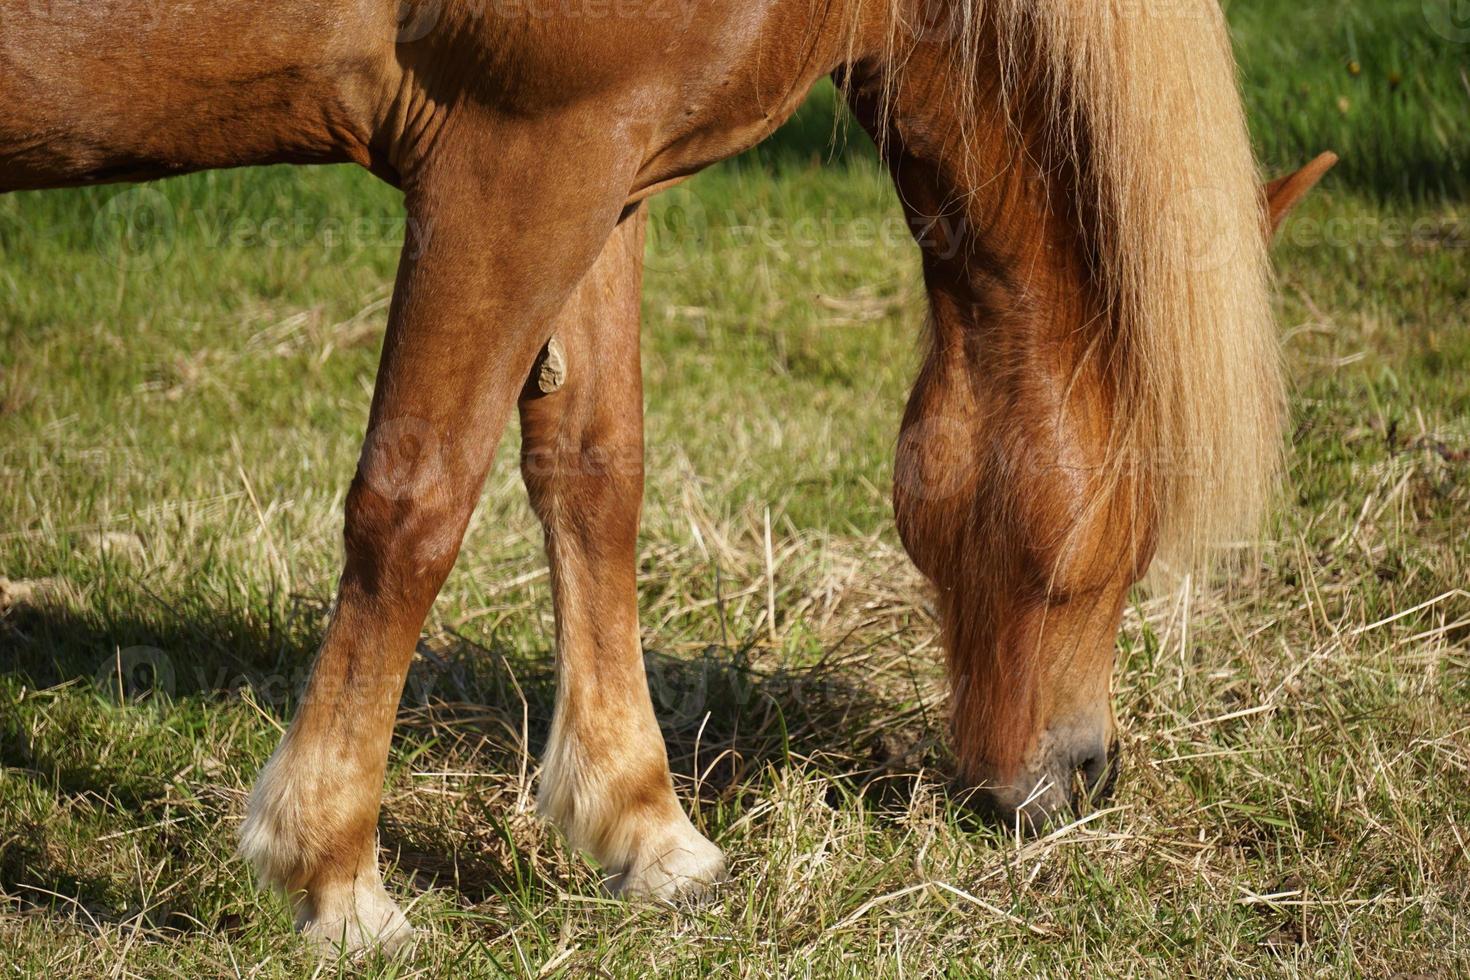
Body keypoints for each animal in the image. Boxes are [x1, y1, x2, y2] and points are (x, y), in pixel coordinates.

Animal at [0, 0, 1334, 952]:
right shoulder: (519, 156)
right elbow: (415, 502)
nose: (1081, 776)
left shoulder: (606, 160)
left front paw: (645, 825)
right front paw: (335, 874)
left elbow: (593, 472)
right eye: (1130, 527)